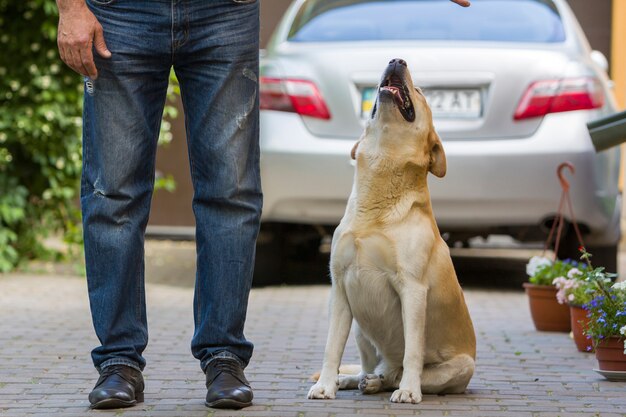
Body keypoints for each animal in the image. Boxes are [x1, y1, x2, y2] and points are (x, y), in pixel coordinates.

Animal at [306, 58, 472, 404]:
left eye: (419, 91)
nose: (397, 60)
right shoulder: (340, 289)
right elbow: (331, 348)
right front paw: (326, 385)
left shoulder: (412, 289)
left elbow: (413, 352)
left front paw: (409, 390)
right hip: (360, 327)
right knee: (369, 369)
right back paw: (357, 379)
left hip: (462, 366)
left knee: (398, 372)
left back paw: (386, 382)